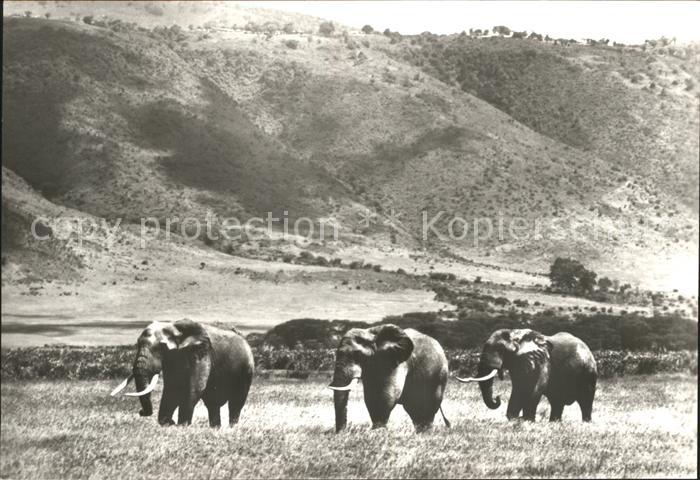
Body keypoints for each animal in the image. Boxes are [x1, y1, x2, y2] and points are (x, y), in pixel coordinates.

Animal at [111, 319, 254, 427]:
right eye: (137, 343)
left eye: (161, 347)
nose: (141, 412)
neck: (173, 326)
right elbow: (172, 389)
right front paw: (169, 422)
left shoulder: (201, 352)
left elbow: (195, 387)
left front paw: (181, 425)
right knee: (212, 404)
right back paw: (215, 429)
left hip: (246, 370)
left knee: (236, 403)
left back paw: (231, 428)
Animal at [457, 329, 597, 422]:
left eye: (501, 350)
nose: (497, 397)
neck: (517, 335)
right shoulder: (518, 363)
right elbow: (519, 388)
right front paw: (514, 419)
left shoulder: (543, 360)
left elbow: (537, 388)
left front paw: (527, 420)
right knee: (557, 401)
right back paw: (554, 423)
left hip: (589, 372)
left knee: (586, 400)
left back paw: (585, 423)